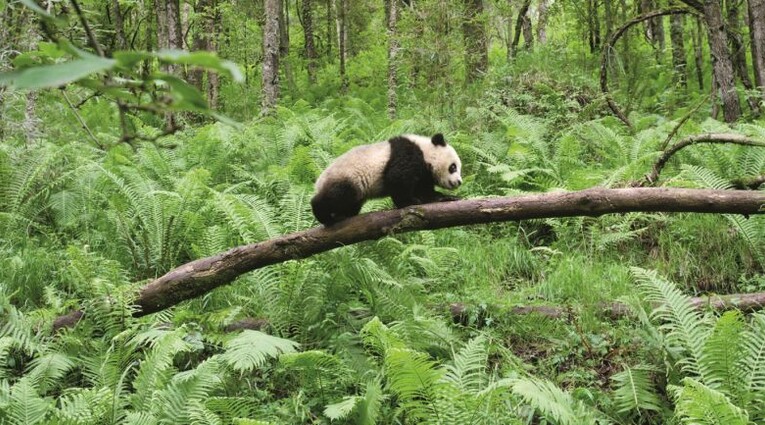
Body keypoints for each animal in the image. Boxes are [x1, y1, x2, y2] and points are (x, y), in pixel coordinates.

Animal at [308, 132, 460, 225]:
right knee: (335, 196)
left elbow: (425, 190)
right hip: (347, 178)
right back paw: (324, 216)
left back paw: (343, 215)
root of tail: (319, 182)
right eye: (453, 167)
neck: (425, 151)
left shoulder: (424, 174)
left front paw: (445, 197)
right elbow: (397, 179)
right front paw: (410, 202)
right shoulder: (406, 154)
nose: (458, 182)